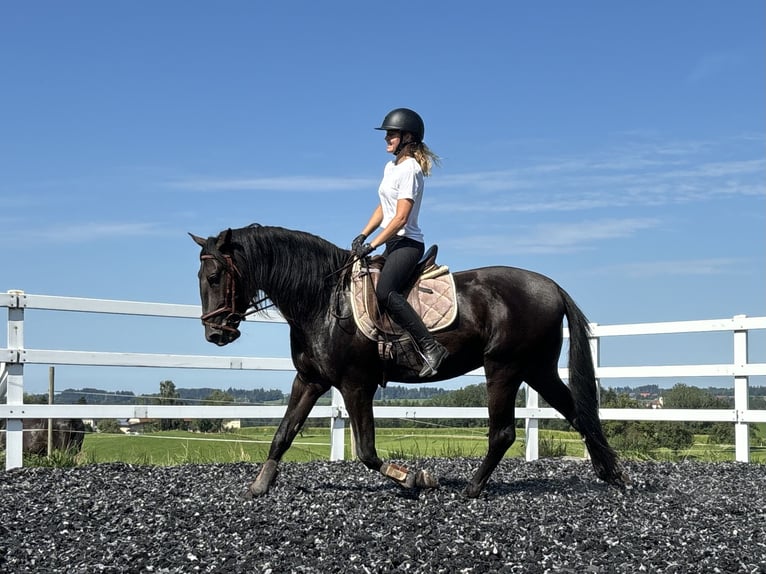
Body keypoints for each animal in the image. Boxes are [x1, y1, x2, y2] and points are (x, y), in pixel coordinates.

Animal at [190, 225, 632, 500]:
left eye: (214, 278)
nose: (216, 335)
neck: (323, 299)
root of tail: (551, 286)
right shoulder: (310, 381)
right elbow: (283, 434)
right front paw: (259, 486)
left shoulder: (356, 384)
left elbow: (367, 452)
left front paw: (415, 478)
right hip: (536, 369)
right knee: (578, 413)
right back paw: (612, 475)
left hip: (503, 368)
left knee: (504, 432)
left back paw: (472, 489)